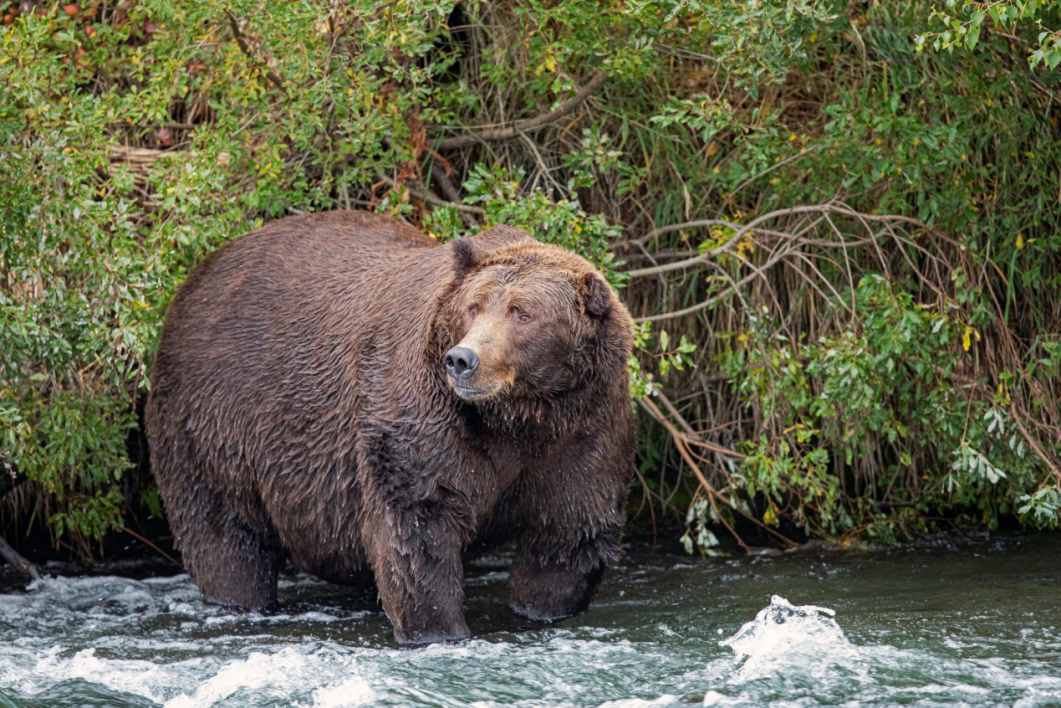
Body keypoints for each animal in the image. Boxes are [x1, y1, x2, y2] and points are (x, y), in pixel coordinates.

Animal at [145, 208, 632, 645]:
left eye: (522, 312)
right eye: (474, 306)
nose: (463, 359)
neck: (519, 416)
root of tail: (196, 278)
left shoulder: (583, 430)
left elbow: (567, 532)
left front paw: (541, 608)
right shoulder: (425, 417)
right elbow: (419, 527)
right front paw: (439, 631)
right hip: (214, 421)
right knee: (225, 535)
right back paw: (240, 599)